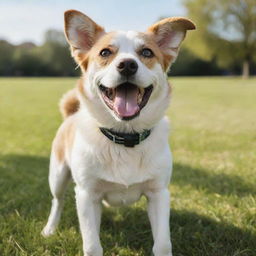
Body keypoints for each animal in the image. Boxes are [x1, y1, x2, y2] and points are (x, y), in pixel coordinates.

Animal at [41, 10, 194, 256]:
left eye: (146, 52)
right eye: (105, 52)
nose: (127, 65)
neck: (125, 138)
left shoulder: (159, 193)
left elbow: (163, 243)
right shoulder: (86, 195)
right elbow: (92, 245)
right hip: (57, 176)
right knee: (57, 202)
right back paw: (50, 229)